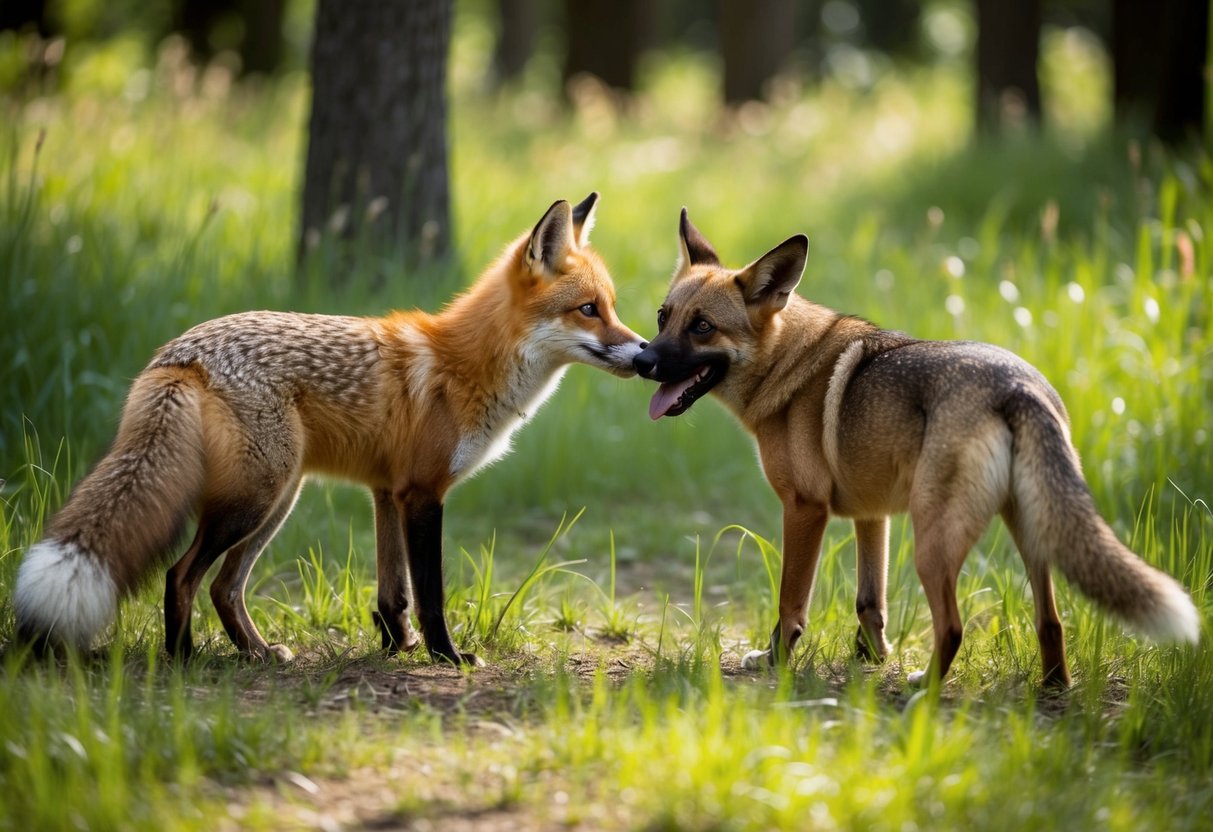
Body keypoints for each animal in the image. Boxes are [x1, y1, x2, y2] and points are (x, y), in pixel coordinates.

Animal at [15, 193, 646, 666]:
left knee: (223, 585)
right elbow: (430, 593)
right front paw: (446, 657)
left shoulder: (387, 492)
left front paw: (395, 648)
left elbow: (393, 593)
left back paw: (257, 652)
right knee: (182, 575)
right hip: (255, 498)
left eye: (611, 307)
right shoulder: (423, 494)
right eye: (588, 310)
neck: (465, 367)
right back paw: (184, 657)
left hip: (278, 498)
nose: (645, 354)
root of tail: (181, 354)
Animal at [634, 209, 1200, 687]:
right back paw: (1053, 688)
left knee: (952, 627)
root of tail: (1017, 385)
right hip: (1030, 530)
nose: (643, 361)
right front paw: (869, 660)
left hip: (935, 543)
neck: (790, 366)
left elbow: (790, 605)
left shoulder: (805, 509)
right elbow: (870, 602)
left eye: (702, 326)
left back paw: (923, 692)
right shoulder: (871, 516)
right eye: (663, 316)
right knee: (1052, 621)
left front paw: (777, 662)